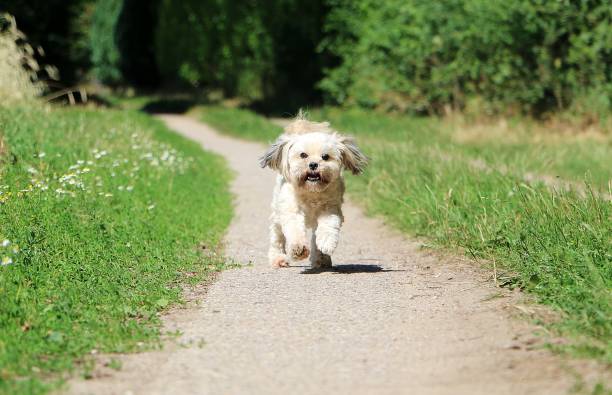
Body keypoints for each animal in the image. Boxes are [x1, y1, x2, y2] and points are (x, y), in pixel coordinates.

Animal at [260, 114, 368, 270]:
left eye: (325, 156)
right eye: (303, 155)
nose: (313, 164)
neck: (311, 192)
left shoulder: (330, 208)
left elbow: (328, 226)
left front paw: (326, 243)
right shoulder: (291, 209)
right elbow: (294, 229)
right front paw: (298, 249)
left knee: (315, 236)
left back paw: (321, 259)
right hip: (277, 213)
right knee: (277, 236)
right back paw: (278, 258)